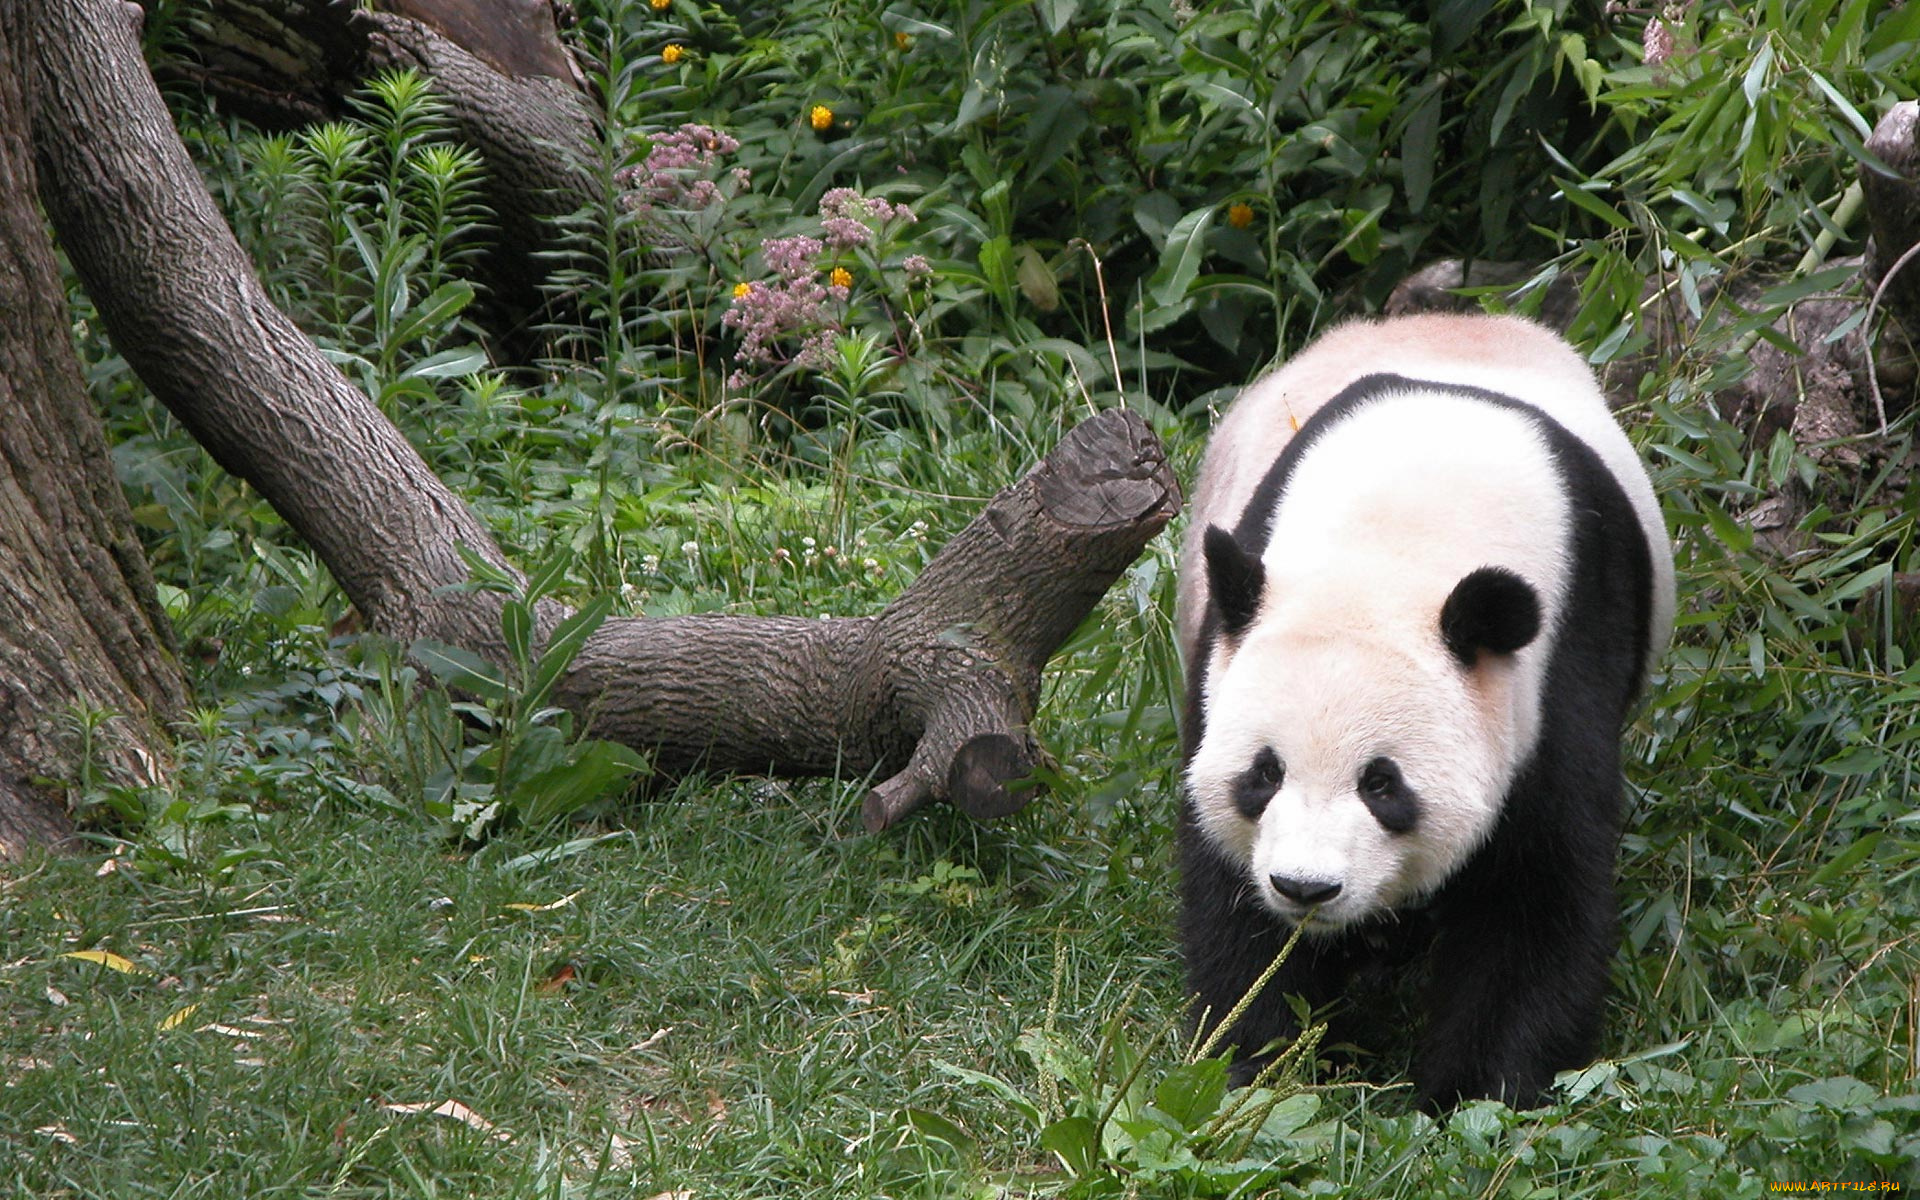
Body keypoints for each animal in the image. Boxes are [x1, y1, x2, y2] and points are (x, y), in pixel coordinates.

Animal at [1174, 313, 1675, 1110]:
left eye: (1383, 784)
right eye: (1264, 774)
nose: (1305, 888)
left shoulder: (1563, 661)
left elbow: (1534, 894)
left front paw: (1474, 1093)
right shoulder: (1224, 664)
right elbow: (1231, 896)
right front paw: (1257, 1061)